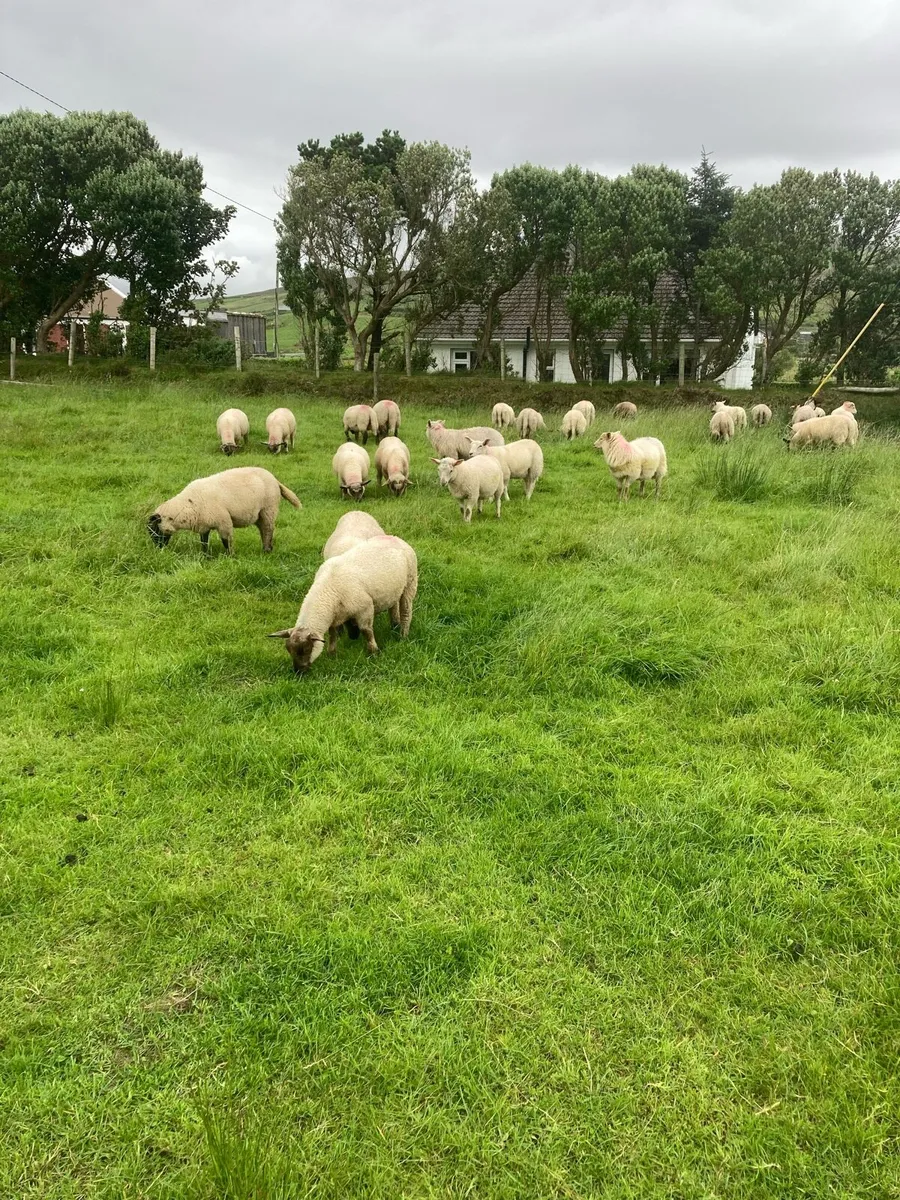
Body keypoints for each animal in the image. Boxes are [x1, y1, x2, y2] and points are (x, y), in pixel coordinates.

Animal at [147, 467, 301, 555]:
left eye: (154, 529)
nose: (158, 549)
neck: (188, 505)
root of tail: (275, 480)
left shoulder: (224, 522)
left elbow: (226, 541)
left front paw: (230, 556)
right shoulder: (204, 524)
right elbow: (204, 542)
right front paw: (205, 556)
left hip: (268, 509)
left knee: (268, 530)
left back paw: (267, 551)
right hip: (259, 515)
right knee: (263, 530)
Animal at [268, 535, 418, 671]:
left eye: (306, 649)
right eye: (288, 650)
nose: (298, 672)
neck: (328, 590)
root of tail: (395, 537)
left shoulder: (365, 608)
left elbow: (367, 632)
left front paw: (373, 652)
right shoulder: (335, 617)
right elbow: (333, 635)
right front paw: (331, 654)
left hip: (410, 582)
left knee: (406, 612)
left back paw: (403, 636)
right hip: (394, 590)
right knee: (393, 606)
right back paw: (395, 626)